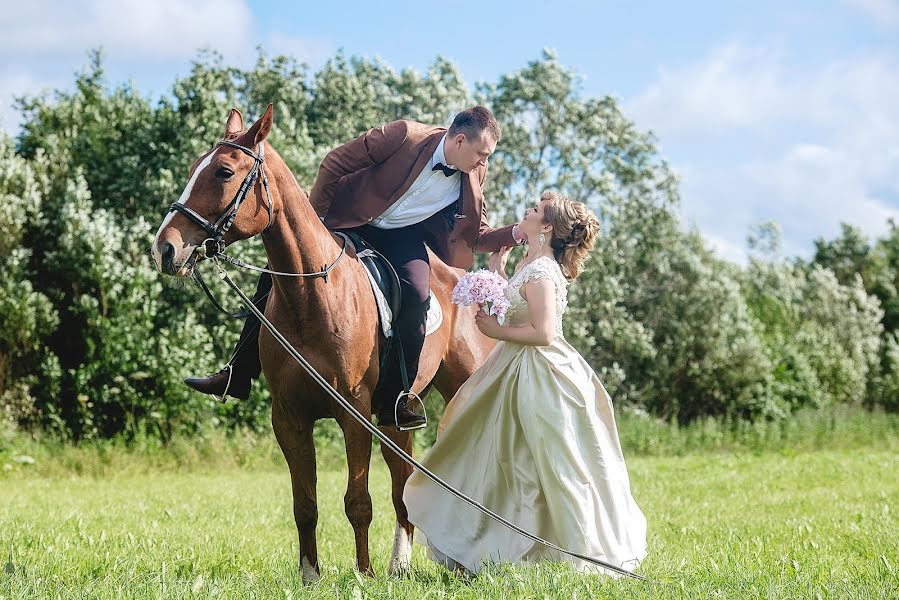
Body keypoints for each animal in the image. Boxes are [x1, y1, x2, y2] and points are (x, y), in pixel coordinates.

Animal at [152, 105, 496, 580]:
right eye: (192, 170)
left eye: (223, 172)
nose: (165, 249)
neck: (311, 294)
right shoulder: (289, 419)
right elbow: (305, 504)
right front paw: (310, 575)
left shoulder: (353, 415)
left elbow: (358, 502)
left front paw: (363, 575)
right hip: (393, 420)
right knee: (402, 483)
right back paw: (400, 564)